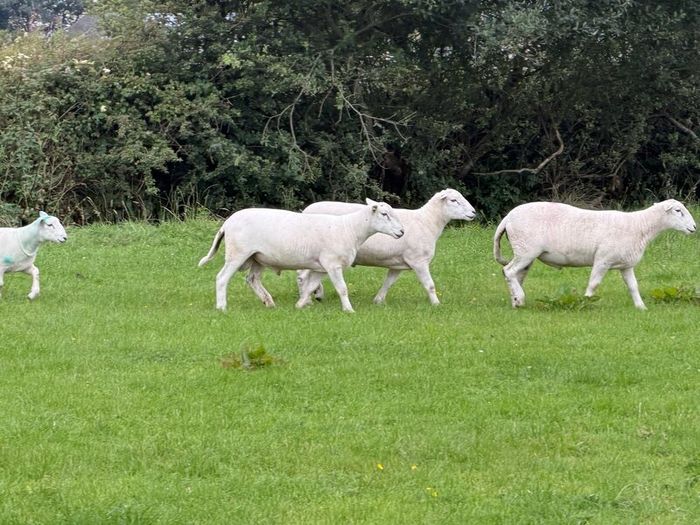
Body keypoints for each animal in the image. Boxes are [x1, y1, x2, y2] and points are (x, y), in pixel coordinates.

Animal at [198, 199, 405, 312]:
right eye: (384, 214)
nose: (402, 232)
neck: (350, 228)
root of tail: (227, 223)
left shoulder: (321, 267)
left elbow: (310, 286)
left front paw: (300, 304)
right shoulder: (332, 264)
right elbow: (342, 288)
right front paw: (348, 309)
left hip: (258, 257)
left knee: (252, 279)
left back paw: (269, 302)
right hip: (238, 253)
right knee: (222, 278)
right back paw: (222, 307)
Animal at [298, 189, 476, 305]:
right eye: (453, 200)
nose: (474, 213)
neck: (427, 222)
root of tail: (305, 210)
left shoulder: (397, 264)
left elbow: (388, 282)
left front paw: (378, 300)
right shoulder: (418, 260)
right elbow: (430, 285)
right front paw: (436, 304)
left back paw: (314, 294)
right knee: (302, 275)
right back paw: (309, 297)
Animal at [493, 199, 697, 309]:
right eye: (678, 211)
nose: (694, 227)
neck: (640, 226)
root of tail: (508, 217)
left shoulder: (626, 264)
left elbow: (633, 286)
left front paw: (641, 307)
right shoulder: (603, 260)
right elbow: (594, 284)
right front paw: (586, 302)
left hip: (524, 252)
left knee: (517, 275)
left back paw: (516, 301)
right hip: (526, 250)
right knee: (508, 271)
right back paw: (519, 299)